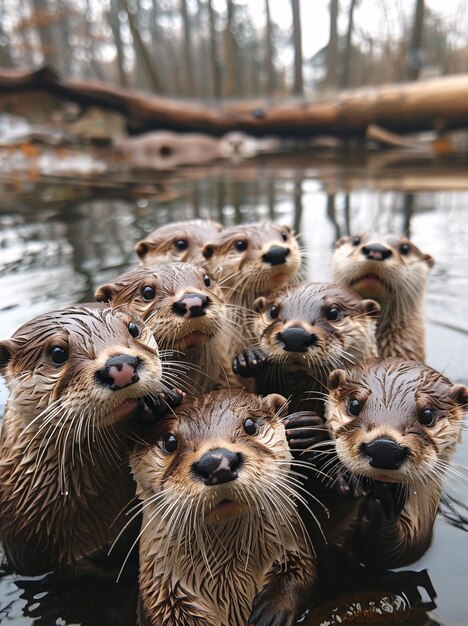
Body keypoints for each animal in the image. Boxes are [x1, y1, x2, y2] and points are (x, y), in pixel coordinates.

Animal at [130, 390, 316, 624]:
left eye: (250, 425)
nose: (216, 461)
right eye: (170, 442)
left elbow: (301, 573)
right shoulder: (162, 597)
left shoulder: (294, 549)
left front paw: (272, 612)